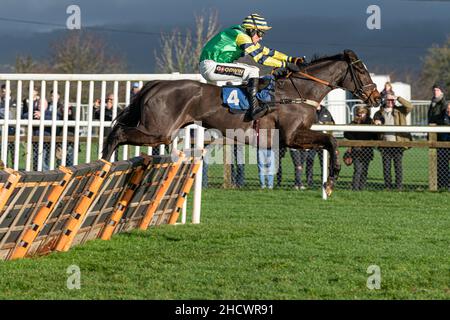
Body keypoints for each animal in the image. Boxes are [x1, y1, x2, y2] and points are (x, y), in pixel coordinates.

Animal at [102, 49, 380, 195]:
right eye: (361, 71)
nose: (376, 97)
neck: (298, 91)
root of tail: (157, 84)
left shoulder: (296, 137)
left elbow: (329, 142)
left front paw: (329, 181)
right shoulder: (291, 136)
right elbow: (331, 140)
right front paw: (331, 180)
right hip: (159, 130)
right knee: (117, 133)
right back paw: (103, 165)